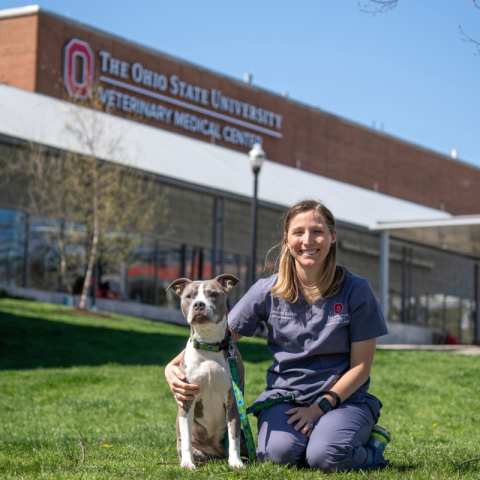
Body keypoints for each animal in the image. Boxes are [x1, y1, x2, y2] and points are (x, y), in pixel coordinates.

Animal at [166, 274, 248, 468]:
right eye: (189, 296)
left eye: (213, 294)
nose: (199, 304)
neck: (209, 344)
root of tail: (217, 455)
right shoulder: (187, 399)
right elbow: (186, 438)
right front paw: (187, 464)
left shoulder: (233, 399)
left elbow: (233, 436)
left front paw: (236, 463)